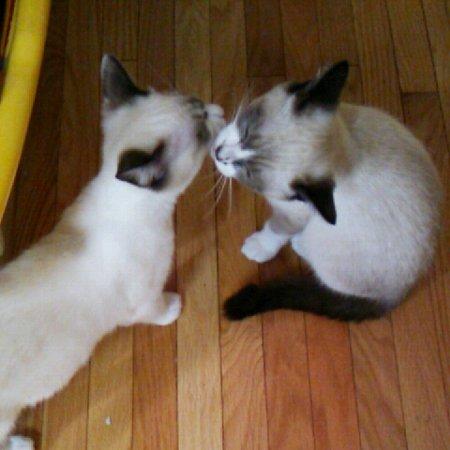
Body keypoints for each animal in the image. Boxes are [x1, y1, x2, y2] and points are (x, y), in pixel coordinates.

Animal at [0, 54, 224, 450]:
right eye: (201, 132)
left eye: (198, 104)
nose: (214, 109)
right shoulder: (144, 299)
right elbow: (159, 309)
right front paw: (174, 308)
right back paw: (22, 444)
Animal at [211, 60, 442, 322]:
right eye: (245, 131)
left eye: (248, 173)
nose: (218, 154)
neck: (345, 153)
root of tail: (398, 295)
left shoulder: (293, 213)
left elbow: (276, 230)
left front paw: (258, 247)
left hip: (320, 235)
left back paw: (299, 244)